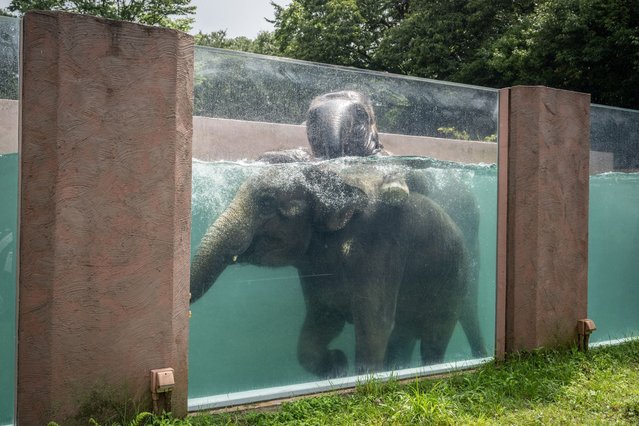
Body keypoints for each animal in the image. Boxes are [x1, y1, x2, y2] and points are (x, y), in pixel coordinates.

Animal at [190, 162, 470, 376]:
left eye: (267, 202)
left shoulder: (378, 245)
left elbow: (374, 323)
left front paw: (362, 377)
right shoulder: (314, 268)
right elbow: (322, 320)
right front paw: (337, 365)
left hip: (454, 285)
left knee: (434, 338)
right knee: (403, 337)